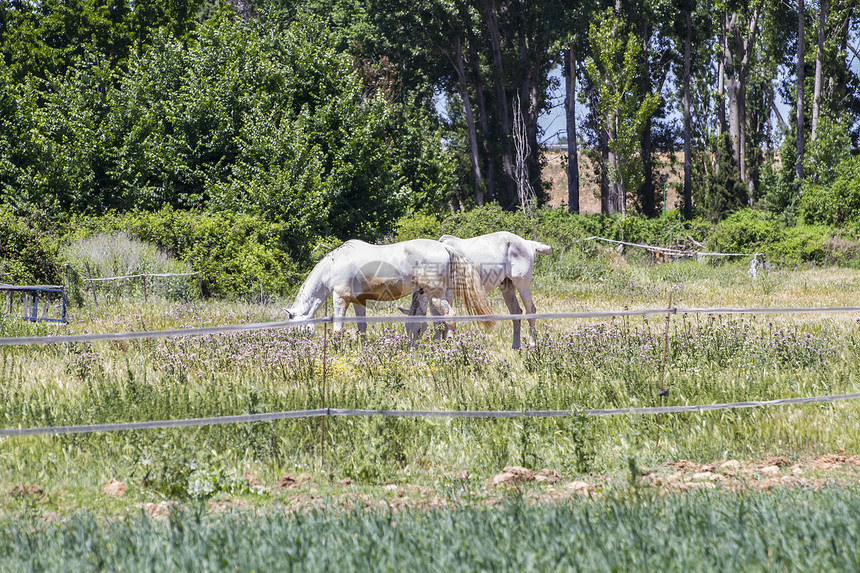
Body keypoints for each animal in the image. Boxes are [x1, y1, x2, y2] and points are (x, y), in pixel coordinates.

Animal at [286, 238, 494, 340]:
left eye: (295, 328)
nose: (298, 345)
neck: (333, 265)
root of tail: (445, 247)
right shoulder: (359, 301)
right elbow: (362, 327)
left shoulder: (340, 299)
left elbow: (338, 329)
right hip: (440, 295)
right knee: (440, 321)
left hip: (435, 296)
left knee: (450, 317)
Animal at [404, 230, 552, 346]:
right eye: (406, 328)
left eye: (418, 329)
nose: (413, 348)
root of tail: (527, 243)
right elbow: (439, 323)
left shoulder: (447, 296)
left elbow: (446, 322)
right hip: (507, 287)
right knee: (516, 312)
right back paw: (516, 346)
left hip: (522, 285)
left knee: (530, 310)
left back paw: (532, 344)